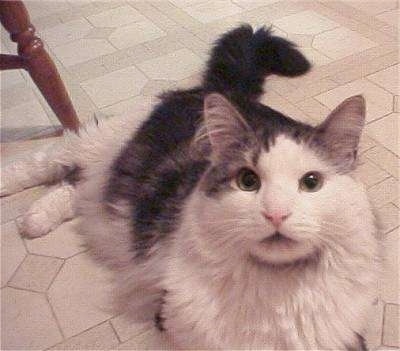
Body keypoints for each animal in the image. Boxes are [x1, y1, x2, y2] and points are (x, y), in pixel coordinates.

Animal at [1, 25, 380, 351]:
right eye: (248, 181)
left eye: (311, 182)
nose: (276, 213)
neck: (275, 290)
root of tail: (226, 92)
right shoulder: (173, 316)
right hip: (101, 141)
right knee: (51, 159)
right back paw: (16, 196)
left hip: (109, 177)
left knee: (77, 187)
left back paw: (37, 218)